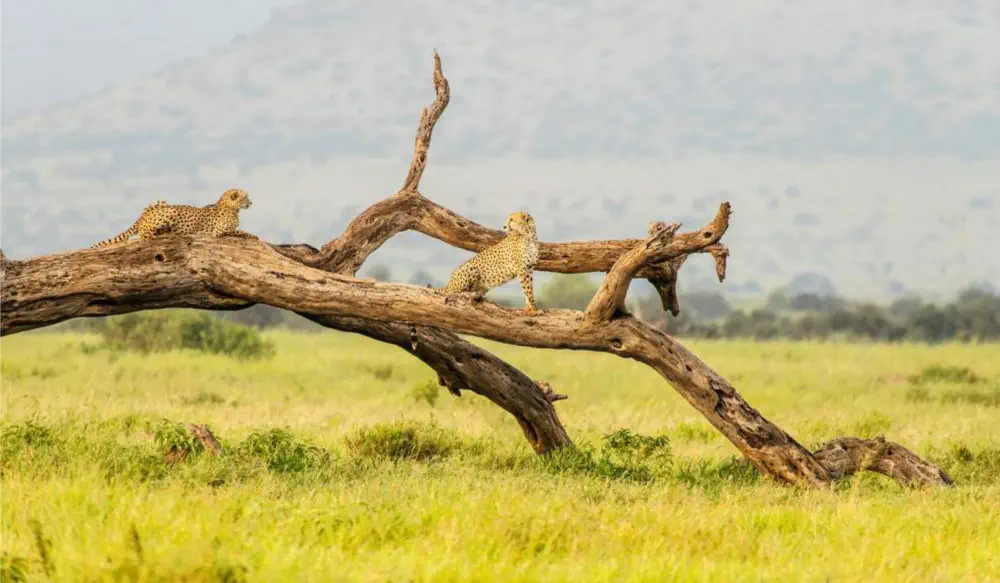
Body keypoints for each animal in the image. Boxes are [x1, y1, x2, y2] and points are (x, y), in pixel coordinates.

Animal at [91, 188, 257, 248]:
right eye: (246, 197)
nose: (251, 202)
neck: (231, 206)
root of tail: (142, 216)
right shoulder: (218, 232)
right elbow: (239, 231)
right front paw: (253, 235)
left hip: (161, 202)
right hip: (169, 209)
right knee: (144, 234)